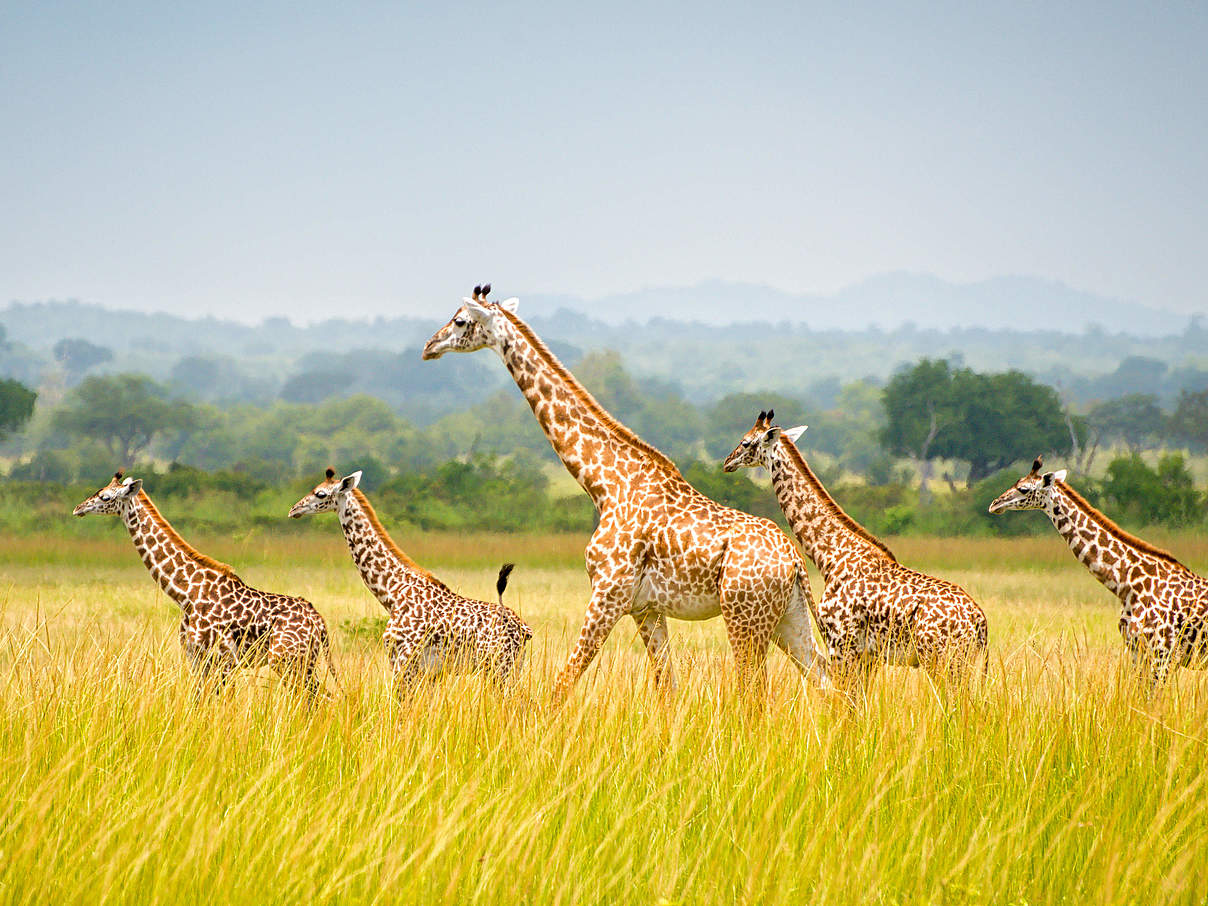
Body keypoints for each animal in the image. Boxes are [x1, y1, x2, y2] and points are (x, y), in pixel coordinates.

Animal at [73, 471, 338, 700]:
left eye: (105, 497)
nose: (78, 508)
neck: (185, 592)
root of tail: (319, 622)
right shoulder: (196, 658)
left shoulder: (222, 659)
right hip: (302, 661)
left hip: (287, 660)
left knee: (318, 698)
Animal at [287, 468, 533, 686]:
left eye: (320, 493)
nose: (293, 510)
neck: (392, 593)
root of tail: (523, 629)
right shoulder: (429, 672)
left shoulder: (402, 661)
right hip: (512, 666)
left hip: (498, 666)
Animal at [420, 287, 826, 705]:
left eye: (460, 320)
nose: (429, 346)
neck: (605, 484)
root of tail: (794, 561)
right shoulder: (645, 608)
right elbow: (667, 687)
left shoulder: (608, 592)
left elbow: (563, 682)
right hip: (787, 618)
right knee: (825, 680)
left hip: (745, 616)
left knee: (755, 693)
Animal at [719, 410, 985, 681]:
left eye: (745, 442)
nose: (727, 462)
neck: (830, 556)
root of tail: (979, 621)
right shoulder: (868, 656)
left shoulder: (841, 644)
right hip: (961, 662)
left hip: (941, 660)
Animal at [990, 456, 1208, 690]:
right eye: (1017, 482)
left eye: (1023, 488)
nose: (995, 504)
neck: (1127, 583)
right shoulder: (1137, 650)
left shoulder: (1163, 652)